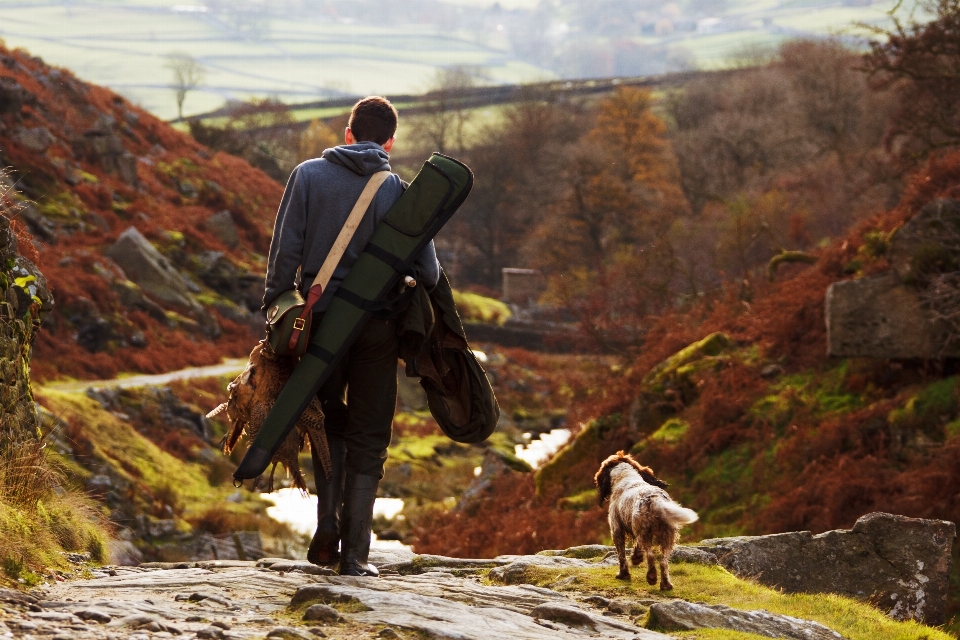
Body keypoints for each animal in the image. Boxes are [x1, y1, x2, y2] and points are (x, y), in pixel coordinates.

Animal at [592, 450, 696, 592]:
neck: (625, 476)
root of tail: (655, 499)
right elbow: (636, 547)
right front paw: (636, 558)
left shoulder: (617, 530)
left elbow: (621, 555)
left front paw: (623, 574)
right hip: (667, 536)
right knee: (663, 561)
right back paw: (666, 585)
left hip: (645, 533)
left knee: (651, 555)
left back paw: (651, 577)